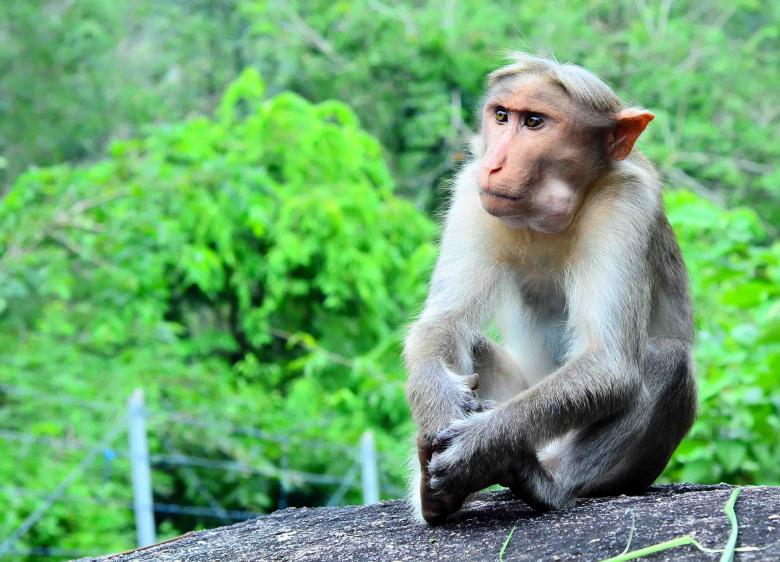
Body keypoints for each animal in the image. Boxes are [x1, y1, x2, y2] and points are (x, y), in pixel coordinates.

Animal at [404, 53, 697, 525]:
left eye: (535, 122)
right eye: (501, 116)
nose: (494, 163)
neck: (548, 217)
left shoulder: (626, 205)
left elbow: (609, 363)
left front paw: (478, 445)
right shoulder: (473, 194)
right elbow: (442, 322)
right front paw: (439, 403)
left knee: (666, 358)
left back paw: (546, 483)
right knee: (469, 339)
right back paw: (437, 499)